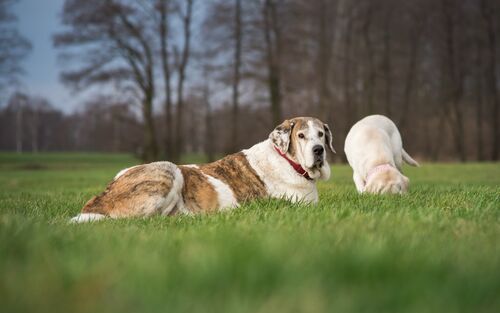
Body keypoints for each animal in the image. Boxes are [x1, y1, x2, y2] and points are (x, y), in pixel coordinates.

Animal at [70, 117, 336, 222]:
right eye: (301, 136)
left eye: (321, 134)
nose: (318, 150)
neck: (288, 161)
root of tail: (98, 201)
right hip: (168, 169)